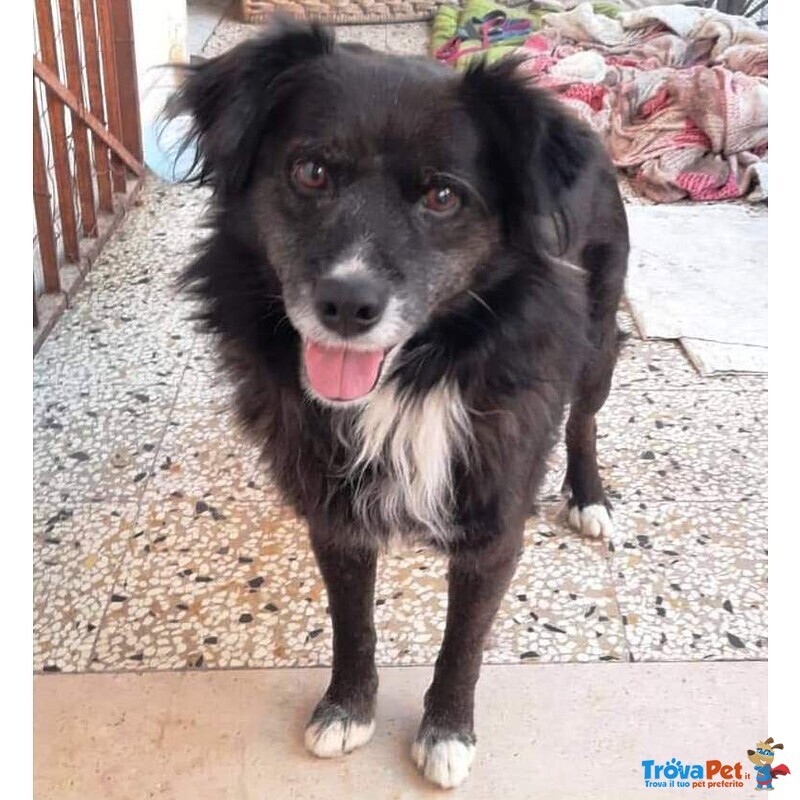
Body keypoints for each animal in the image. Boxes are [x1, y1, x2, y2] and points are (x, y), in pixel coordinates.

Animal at [170, 17, 628, 789]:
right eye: (310, 172)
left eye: (443, 198)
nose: (347, 305)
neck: (415, 378)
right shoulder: (335, 513)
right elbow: (352, 622)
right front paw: (347, 708)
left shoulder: (495, 524)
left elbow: (463, 642)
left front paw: (446, 732)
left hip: (598, 343)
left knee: (586, 419)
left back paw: (588, 496)